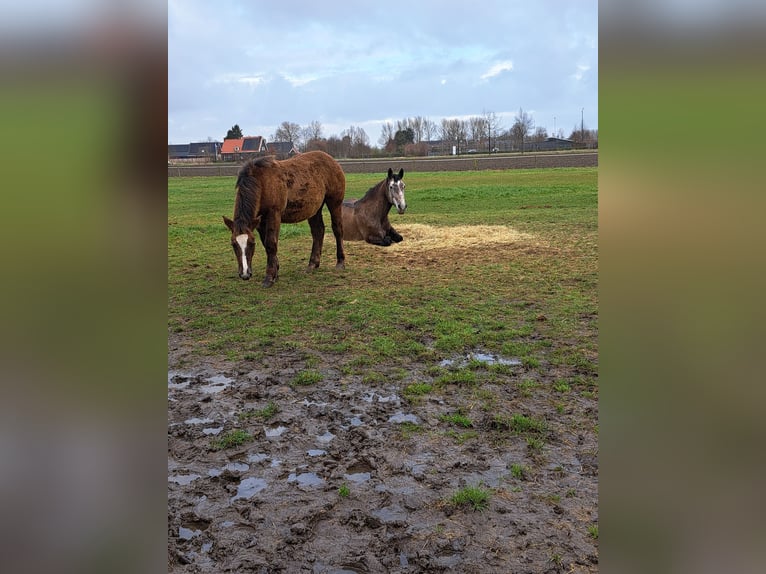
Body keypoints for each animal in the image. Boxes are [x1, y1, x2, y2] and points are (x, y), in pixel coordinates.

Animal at [223, 150, 346, 287]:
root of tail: (331, 160)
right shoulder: (259, 222)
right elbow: (266, 244)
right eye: (233, 244)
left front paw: (269, 277)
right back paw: (313, 264)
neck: (261, 183)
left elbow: (271, 243)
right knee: (318, 231)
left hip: (334, 203)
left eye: (251, 243)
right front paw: (275, 272)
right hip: (314, 209)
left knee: (337, 229)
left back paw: (340, 262)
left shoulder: (274, 214)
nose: (245, 274)